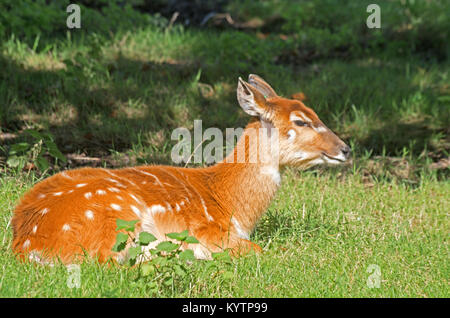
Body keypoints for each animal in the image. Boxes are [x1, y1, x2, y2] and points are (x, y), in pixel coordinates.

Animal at [9, 74, 348, 264]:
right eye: (301, 122)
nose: (345, 149)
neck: (232, 204)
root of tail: (26, 244)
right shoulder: (213, 232)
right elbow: (258, 250)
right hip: (116, 216)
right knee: (107, 262)